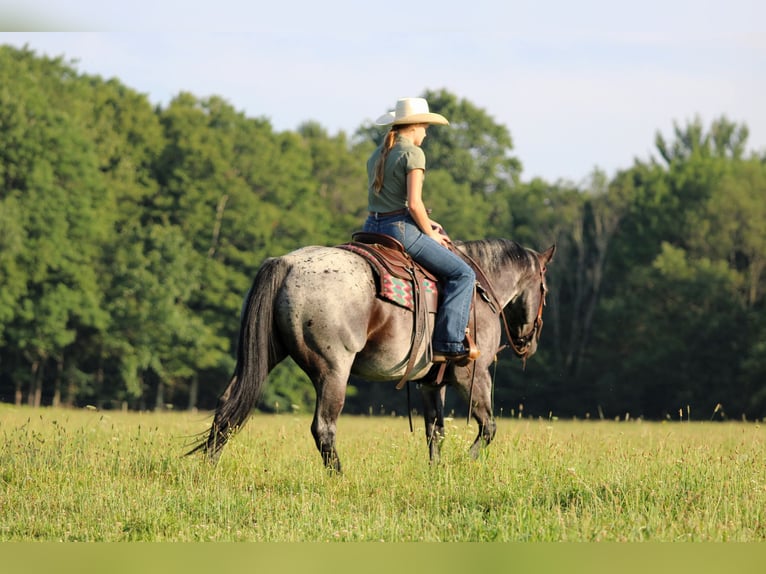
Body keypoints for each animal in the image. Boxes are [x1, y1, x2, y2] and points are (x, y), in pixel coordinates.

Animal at [189, 238, 555, 471]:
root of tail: (289, 263)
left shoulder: (431, 383)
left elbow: (435, 432)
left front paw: (437, 472)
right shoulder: (473, 375)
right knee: (323, 427)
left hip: (266, 355)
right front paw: (466, 463)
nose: (531, 342)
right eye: (544, 289)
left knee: (227, 406)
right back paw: (338, 476)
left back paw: (209, 467)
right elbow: (488, 427)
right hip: (333, 370)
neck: (480, 288)